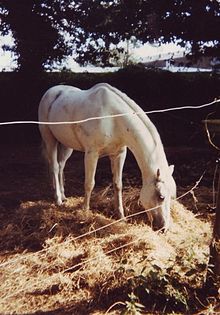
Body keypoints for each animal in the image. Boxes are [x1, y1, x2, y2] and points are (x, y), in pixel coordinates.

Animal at [37, 82, 175, 231]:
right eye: (161, 196)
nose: (163, 228)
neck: (112, 117)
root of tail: (51, 92)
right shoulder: (91, 154)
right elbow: (89, 184)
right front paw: (85, 212)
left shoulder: (119, 154)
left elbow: (118, 184)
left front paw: (121, 216)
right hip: (50, 139)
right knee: (55, 167)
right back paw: (58, 199)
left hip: (67, 145)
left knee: (61, 166)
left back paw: (63, 196)